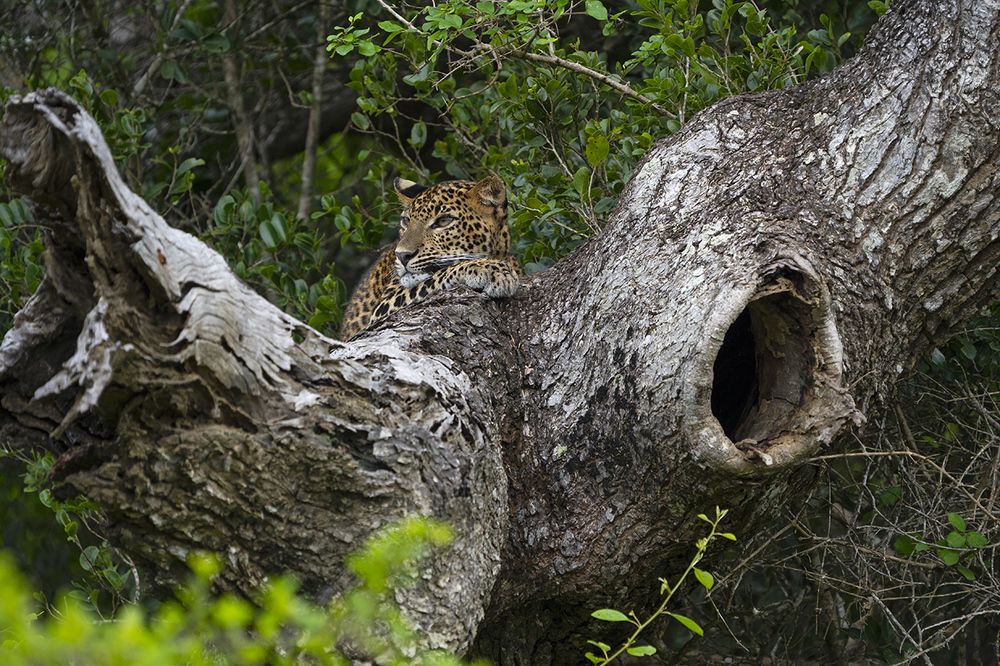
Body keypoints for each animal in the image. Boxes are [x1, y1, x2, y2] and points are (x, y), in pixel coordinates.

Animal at [338, 175, 522, 339]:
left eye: (443, 221)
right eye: (406, 221)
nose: (402, 255)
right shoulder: (384, 304)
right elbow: (443, 272)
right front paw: (491, 270)